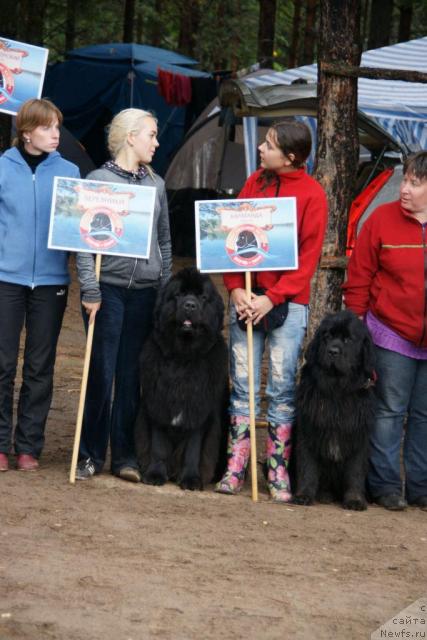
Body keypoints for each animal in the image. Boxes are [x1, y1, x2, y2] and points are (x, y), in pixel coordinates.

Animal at [135, 264, 229, 490]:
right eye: (178, 294)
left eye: (203, 297)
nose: (190, 305)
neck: (183, 358)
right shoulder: (158, 405)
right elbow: (158, 446)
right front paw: (155, 474)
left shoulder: (199, 411)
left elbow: (193, 450)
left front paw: (191, 479)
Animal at [294, 310, 374, 510]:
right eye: (327, 336)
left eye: (348, 339)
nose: (333, 351)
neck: (336, 392)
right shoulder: (308, 431)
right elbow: (307, 466)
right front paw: (303, 495)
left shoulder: (358, 436)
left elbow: (355, 471)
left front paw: (355, 500)